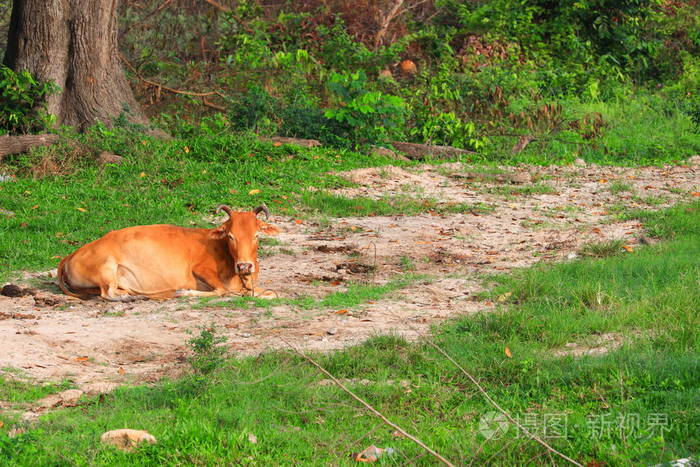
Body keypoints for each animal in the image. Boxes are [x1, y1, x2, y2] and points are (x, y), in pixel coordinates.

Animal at [57, 204, 280, 300]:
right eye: (231, 235)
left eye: (256, 235)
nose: (244, 265)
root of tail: (70, 255)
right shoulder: (200, 269)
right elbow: (222, 290)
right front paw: (184, 292)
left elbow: (272, 293)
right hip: (106, 267)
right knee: (107, 294)